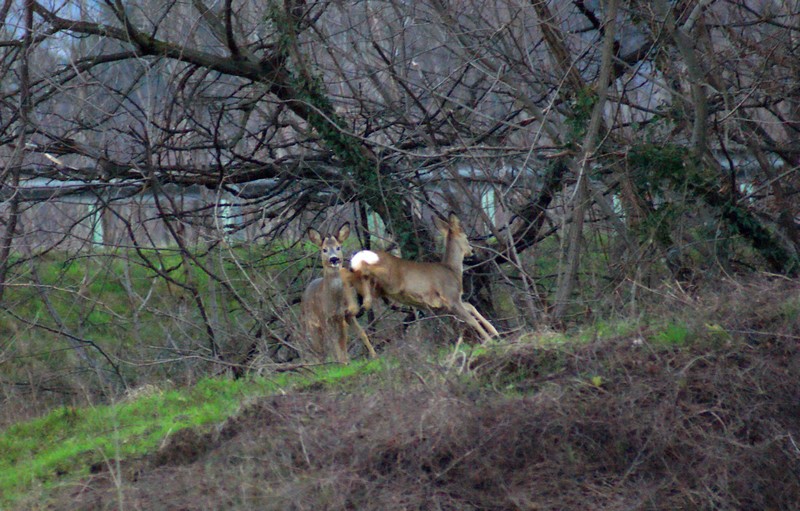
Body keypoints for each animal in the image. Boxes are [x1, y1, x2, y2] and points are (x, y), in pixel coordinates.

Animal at [302, 221, 376, 364]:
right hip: (312, 324)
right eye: (324, 249)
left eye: (338, 247)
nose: (334, 259)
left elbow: (360, 334)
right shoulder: (327, 318)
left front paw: (375, 356)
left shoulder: (346, 315)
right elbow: (336, 344)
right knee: (319, 348)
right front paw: (343, 363)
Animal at [350, 212, 500, 344]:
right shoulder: (451, 297)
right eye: (466, 237)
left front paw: (495, 332)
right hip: (388, 280)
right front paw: (491, 340)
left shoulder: (447, 303)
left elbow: (471, 307)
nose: (472, 251)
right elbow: (471, 320)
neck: (452, 270)